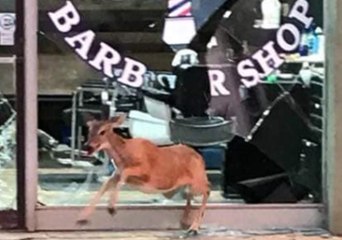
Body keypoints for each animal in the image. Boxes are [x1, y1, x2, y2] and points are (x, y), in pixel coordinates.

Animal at [77, 114, 211, 234]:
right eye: (89, 130)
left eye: (102, 131)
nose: (87, 147)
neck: (125, 156)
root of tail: (201, 158)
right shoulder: (116, 174)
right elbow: (104, 186)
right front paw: (82, 218)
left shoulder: (146, 173)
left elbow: (124, 175)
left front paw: (111, 208)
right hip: (181, 187)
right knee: (190, 194)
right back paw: (185, 221)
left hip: (197, 181)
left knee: (207, 189)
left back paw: (194, 228)